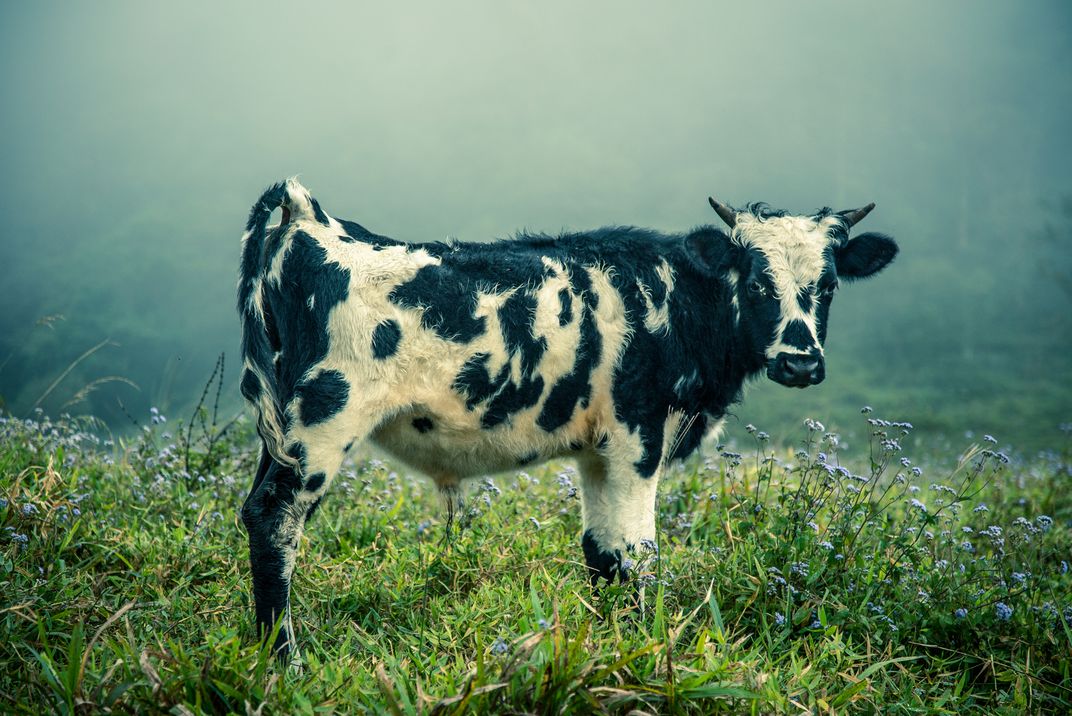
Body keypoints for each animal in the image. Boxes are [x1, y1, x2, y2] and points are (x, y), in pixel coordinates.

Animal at [237, 178, 898, 658]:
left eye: (829, 284)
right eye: (757, 282)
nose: (800, 361)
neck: (671, 301)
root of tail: (310, 220)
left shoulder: (598, 448)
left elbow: (602, 552)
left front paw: (607, 645)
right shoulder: (638, 435)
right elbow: (639, 552)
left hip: (280, 431)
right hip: (324, 421)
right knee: (275, 520)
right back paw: (285, 660)